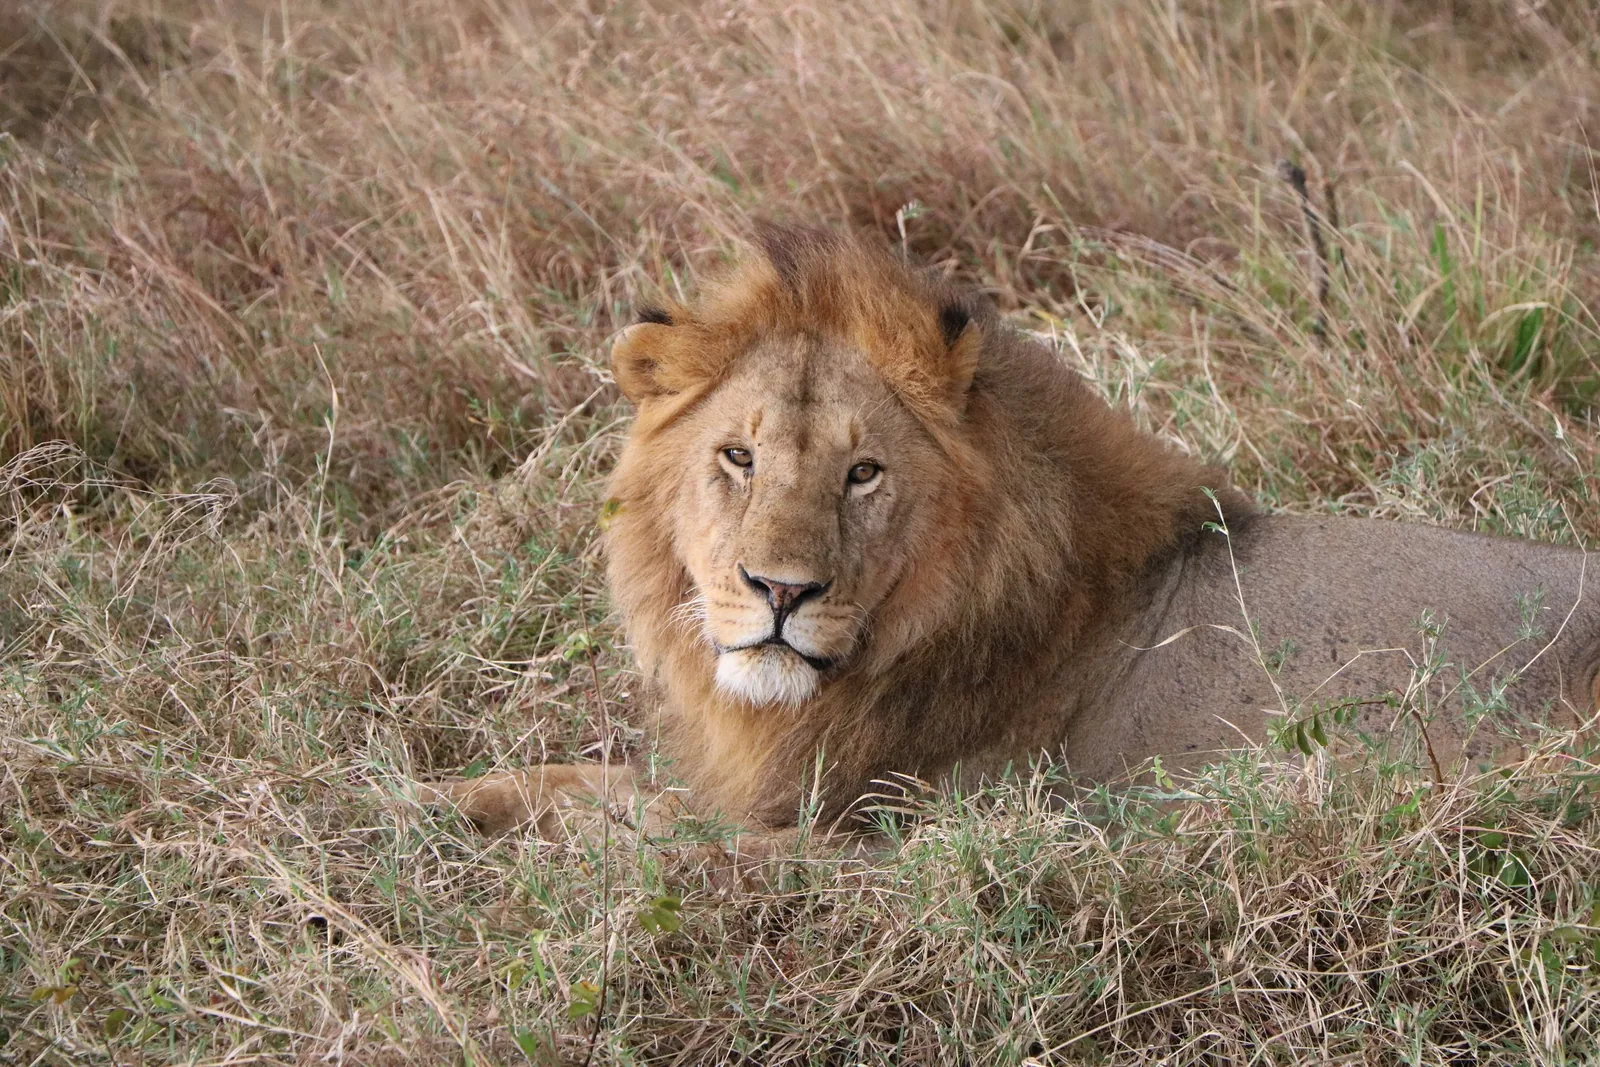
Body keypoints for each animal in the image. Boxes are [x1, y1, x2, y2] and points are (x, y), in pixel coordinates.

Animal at [422, 225, 1600, 839]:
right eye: (738, 457)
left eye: (863, 473)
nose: (780, 592)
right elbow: (584, 779)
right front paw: (419, 801)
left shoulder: (859, 831)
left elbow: (642, 833)